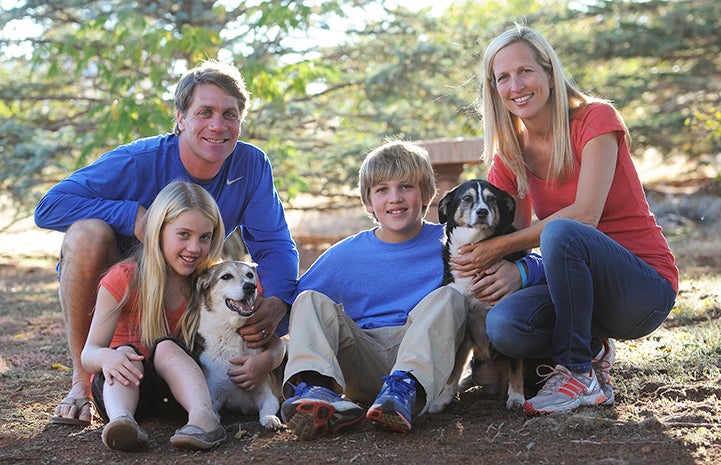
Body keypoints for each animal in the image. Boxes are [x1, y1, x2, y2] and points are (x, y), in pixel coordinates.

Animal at [191, 260, 282, 426]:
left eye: (250, 275)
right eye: (226, 276)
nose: (250, 287)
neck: (233, 332)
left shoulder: (269, 393)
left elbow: (268, 406)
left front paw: (270, 418)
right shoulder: (213, 396)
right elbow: (213, 413)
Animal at [430, 179, 524, 412]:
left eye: (491, 199)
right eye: (466, 198)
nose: (482, 212)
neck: (475, 246)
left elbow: (516, 363)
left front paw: (517, 397)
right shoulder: (463, 327)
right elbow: (454, 368)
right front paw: (443, 399)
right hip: (479, 368)